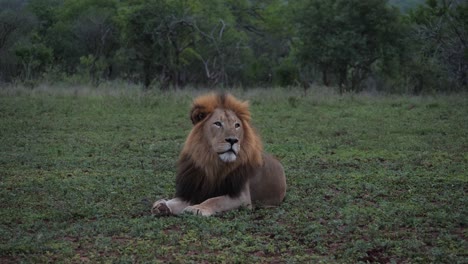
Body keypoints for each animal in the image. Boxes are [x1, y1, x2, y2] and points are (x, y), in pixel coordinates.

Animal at [152, 92, 288, 216]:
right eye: (217, 123)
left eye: (237, 125)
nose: (233, 140)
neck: (212, 162)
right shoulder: (197, 190)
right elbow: (177, 201)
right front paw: (163, 205)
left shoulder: (242, 197)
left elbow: (215, 200)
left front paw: (198, 208)